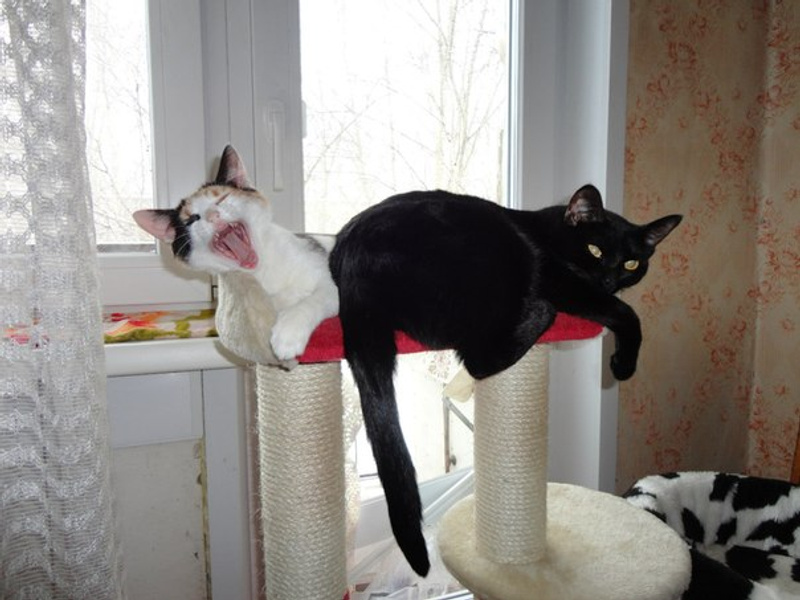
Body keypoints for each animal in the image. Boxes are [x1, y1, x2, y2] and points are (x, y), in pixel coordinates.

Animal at [133, 145, 338, 365]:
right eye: (192, 219)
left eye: (221, 198)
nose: (212, 215)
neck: (264, 267)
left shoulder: (329, 278)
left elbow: (314, 299)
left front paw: (288, 333)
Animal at [329, 185, 682, 575]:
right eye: (595, 250)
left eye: (631, 264)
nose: (607, 281)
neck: (553, 233)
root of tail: (354, 264)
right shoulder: (566, 282)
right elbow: (627, 313)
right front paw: (623, 365)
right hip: (499, 263)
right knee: (478, 358)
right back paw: (538, 312)